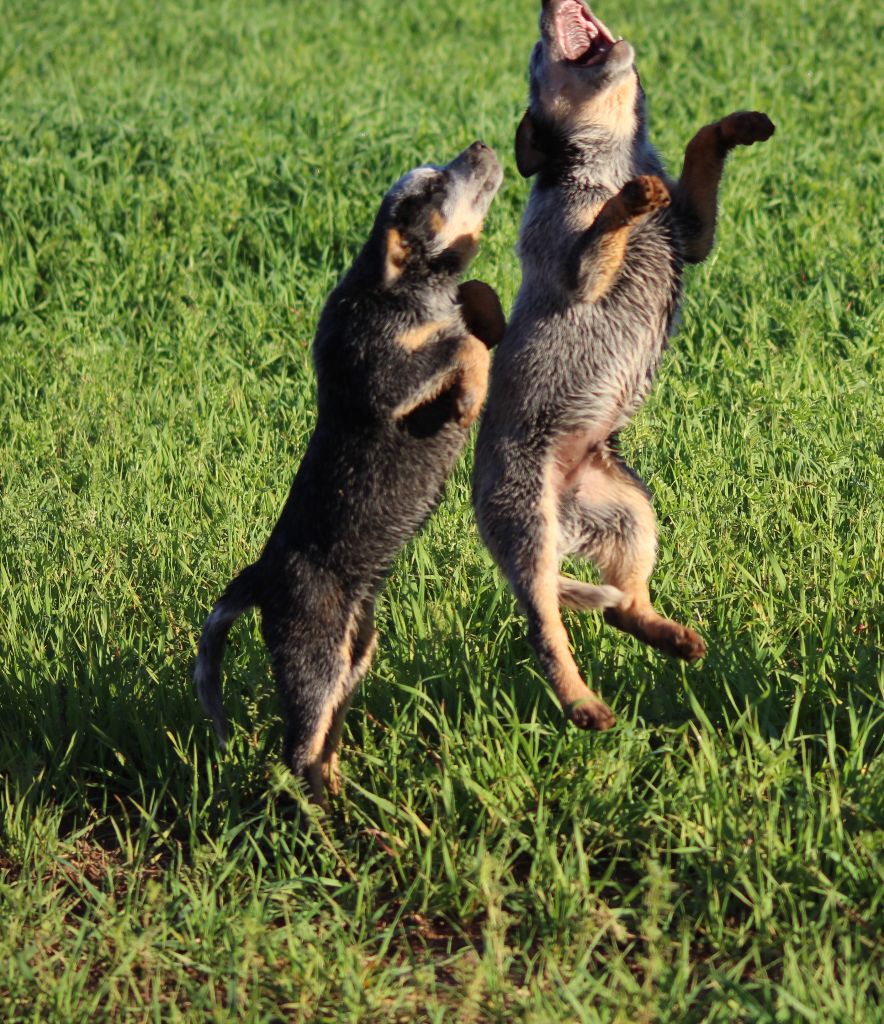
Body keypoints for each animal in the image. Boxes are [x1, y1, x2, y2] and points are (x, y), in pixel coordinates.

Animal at [198, 140, 503, 802]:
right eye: (434, 186)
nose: (480, 145)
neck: (406, 292)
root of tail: (259, 577)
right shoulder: (384, 372)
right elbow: (460, 345)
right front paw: (469, 395)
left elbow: (478, 312)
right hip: (313, 659)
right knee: (297, 751)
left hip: (356, 650)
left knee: (324, 744)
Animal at [473, 4, 770, 733]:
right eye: (535, 58)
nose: (545, 6)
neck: (609, 158)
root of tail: (565, 512)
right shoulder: (577, 269)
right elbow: (604, 225)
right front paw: (631, 199)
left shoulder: (693, 233)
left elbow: (699, 147)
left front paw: (738, 125)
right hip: (527, 525)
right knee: (545, 628)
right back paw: (584, 706)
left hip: (630, 511)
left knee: (624, 608)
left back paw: (674, 638)